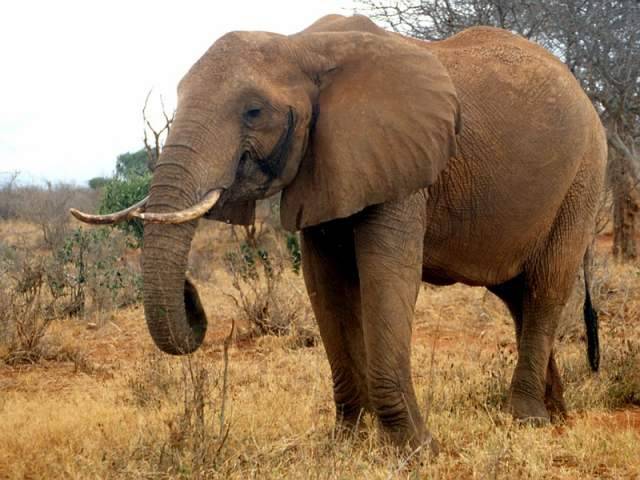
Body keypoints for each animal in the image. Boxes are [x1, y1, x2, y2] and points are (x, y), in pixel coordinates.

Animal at [71, 14, 607, 452]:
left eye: (253, 112)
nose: (191, 291)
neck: (301, 46)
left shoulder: (399, 161)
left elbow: (385, 277)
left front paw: (415, 449)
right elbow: (324, 285)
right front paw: (347, 441)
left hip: (584, 176)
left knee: (545, 287)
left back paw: (529, 421)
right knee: (518, 296)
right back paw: (556, 411)